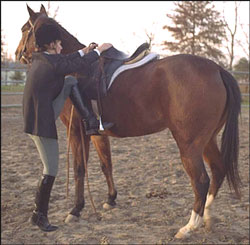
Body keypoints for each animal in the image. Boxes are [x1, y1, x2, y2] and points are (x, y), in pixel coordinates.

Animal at [16, 4, 242, 239]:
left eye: (24, 29)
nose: (17, 54)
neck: (76, 67)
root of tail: (217, 69)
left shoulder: (76, 133)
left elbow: (79, 169)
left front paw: (76, 210)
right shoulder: (97, 133)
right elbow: (106, 164)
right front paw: (110, 199)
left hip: (189, 144)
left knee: (201, 180)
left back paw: (189, 227)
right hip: (207, 140)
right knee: (218, 169)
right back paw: (207, 216)